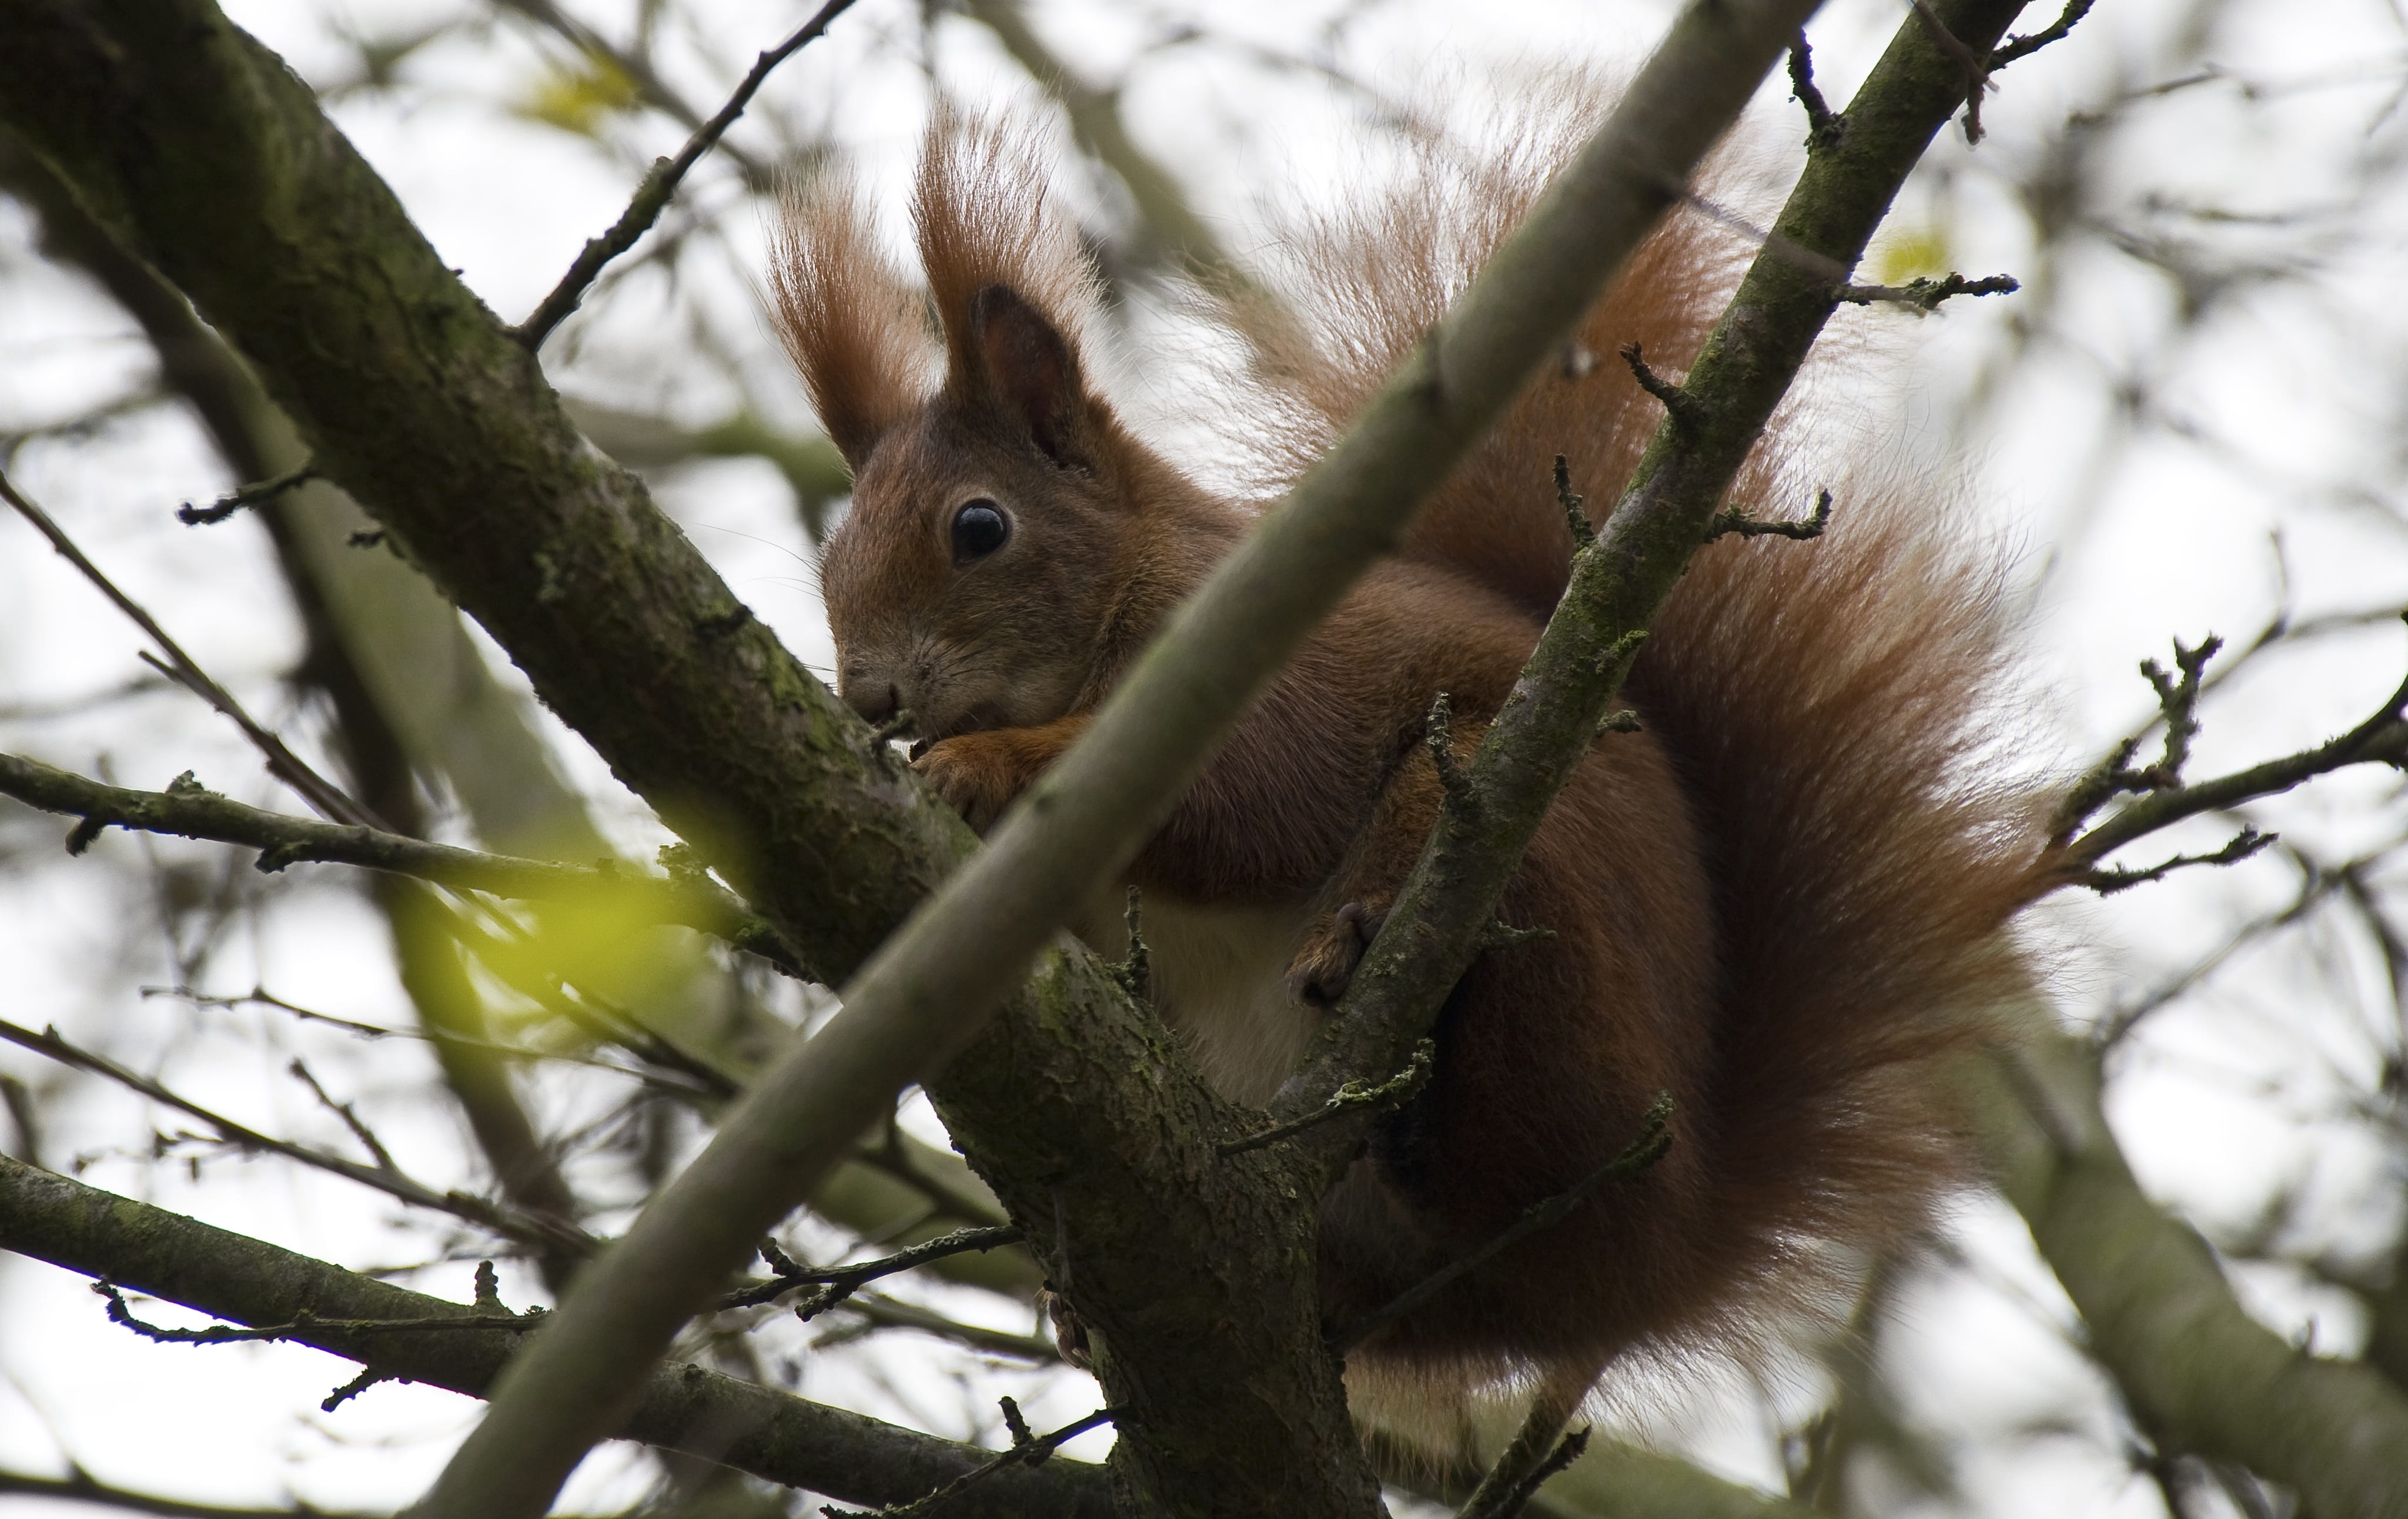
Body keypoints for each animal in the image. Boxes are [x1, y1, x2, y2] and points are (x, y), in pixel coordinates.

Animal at [771, 113, 2047, 1404]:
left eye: (979, 527)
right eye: (827, 557)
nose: (868, 693)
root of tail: (1667, 1254)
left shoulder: (1276, 656)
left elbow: (1250, 800)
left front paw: (980, 760)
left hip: (1539, 863)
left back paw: (1398, 1023)